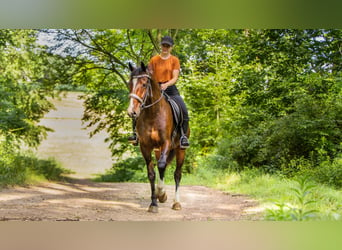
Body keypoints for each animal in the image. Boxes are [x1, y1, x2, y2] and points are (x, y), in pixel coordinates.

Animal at [127, 62, 190, 213]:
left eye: (144, 84)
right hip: (157, 150)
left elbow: (161, 166)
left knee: (177, 173)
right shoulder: (145, 146)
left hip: (180, 150)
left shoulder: (166, 143)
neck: (153, 113)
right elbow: (152, 173)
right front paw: (154, 203)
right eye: (129, 84)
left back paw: (176, 203)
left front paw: (161, 193)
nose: (132, 112)